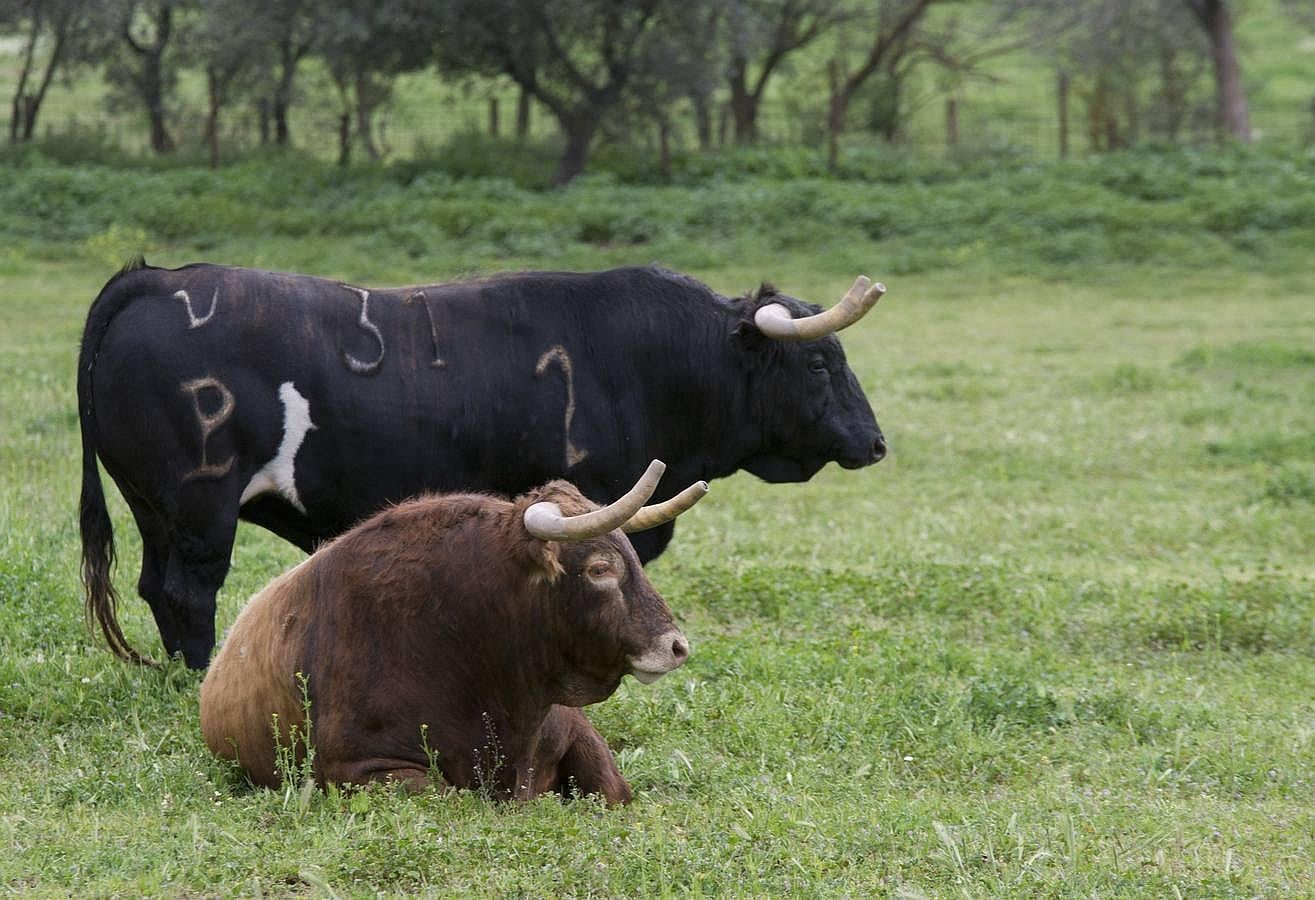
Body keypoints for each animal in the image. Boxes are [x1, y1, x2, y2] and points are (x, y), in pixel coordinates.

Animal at [76, 260, 888, 668]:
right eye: (819, 361)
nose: (876, 442)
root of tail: (157, 276)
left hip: (157, 510)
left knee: (157, 588)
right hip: (199, 508)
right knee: (187, 592)